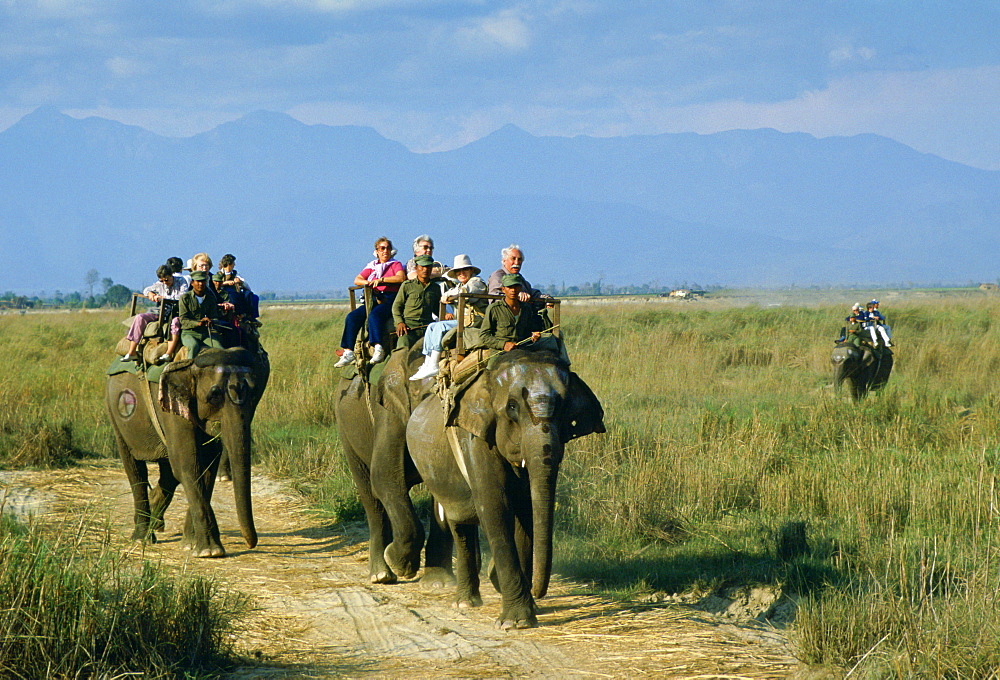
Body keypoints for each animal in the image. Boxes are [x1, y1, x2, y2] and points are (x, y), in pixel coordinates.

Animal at [106, 348, 270, 556]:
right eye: (214, 395)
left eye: (255, 393)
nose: (251, 544)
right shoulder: (169, 405)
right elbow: (188, 466)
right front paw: (210, 552)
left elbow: (206, 467)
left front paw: (191, 545)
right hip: (115, 413)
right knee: (136, 470)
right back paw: (142, 537)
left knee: (168, 474)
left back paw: (155, 519)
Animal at [336, 342, 454, 588]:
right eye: (422, 396)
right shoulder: (388, 413)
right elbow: (384, 477)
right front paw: (402, 565)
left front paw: (439, 584)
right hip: (345, 429)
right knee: (370, 494)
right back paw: (381, 575)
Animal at [402, 348, 604, 628]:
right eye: (512, 407)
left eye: (564, 407)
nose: (539, 592)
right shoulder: (475, 438)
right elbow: (495, 506)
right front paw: (515, 622)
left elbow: (526, 508)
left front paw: (527, 608)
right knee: (459, 523)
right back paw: (464, 602)